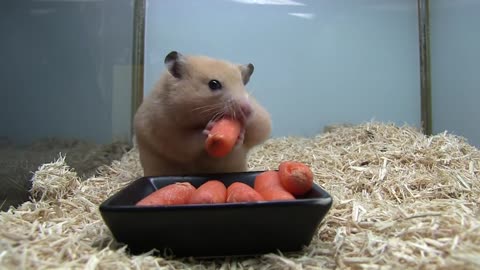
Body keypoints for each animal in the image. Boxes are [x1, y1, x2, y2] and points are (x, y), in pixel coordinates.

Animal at [133, 50, 272, 177]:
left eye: (243, 86)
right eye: (213, 84)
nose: (247, 110)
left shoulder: (261, 121)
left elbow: (256, 133)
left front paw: (240, 134)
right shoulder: (167, 131)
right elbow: (188, 141)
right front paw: (209, 129)